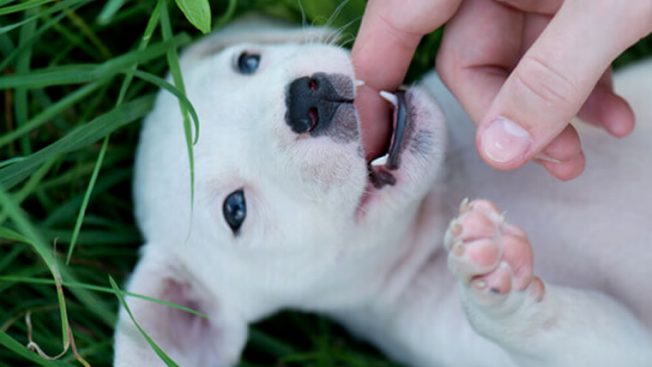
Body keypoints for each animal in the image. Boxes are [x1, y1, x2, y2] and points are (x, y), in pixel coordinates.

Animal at [113, 18, 652, 367]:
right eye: (235, 209)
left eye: (247, 60)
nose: (305, 99)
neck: (439, 204)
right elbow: (582, 330)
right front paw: (498, 282)